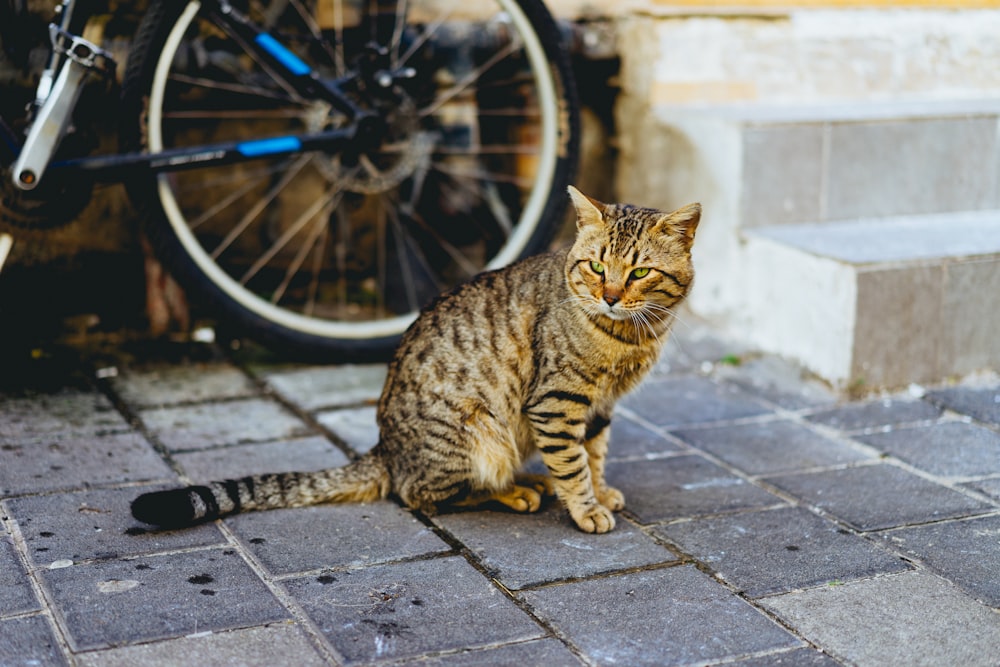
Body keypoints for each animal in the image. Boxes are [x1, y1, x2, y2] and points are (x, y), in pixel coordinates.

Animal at [129, 189, 700, 536]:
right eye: (597, 267)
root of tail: (385, 447)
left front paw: (601, 492)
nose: (610, 296)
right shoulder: (558, 402)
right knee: (424, 495)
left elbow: (594, 453)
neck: (630, 335)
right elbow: (573, 462)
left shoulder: (599, 405)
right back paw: (517, 491)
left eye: (641, 272)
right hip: (476, 434)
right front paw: (586, 508)